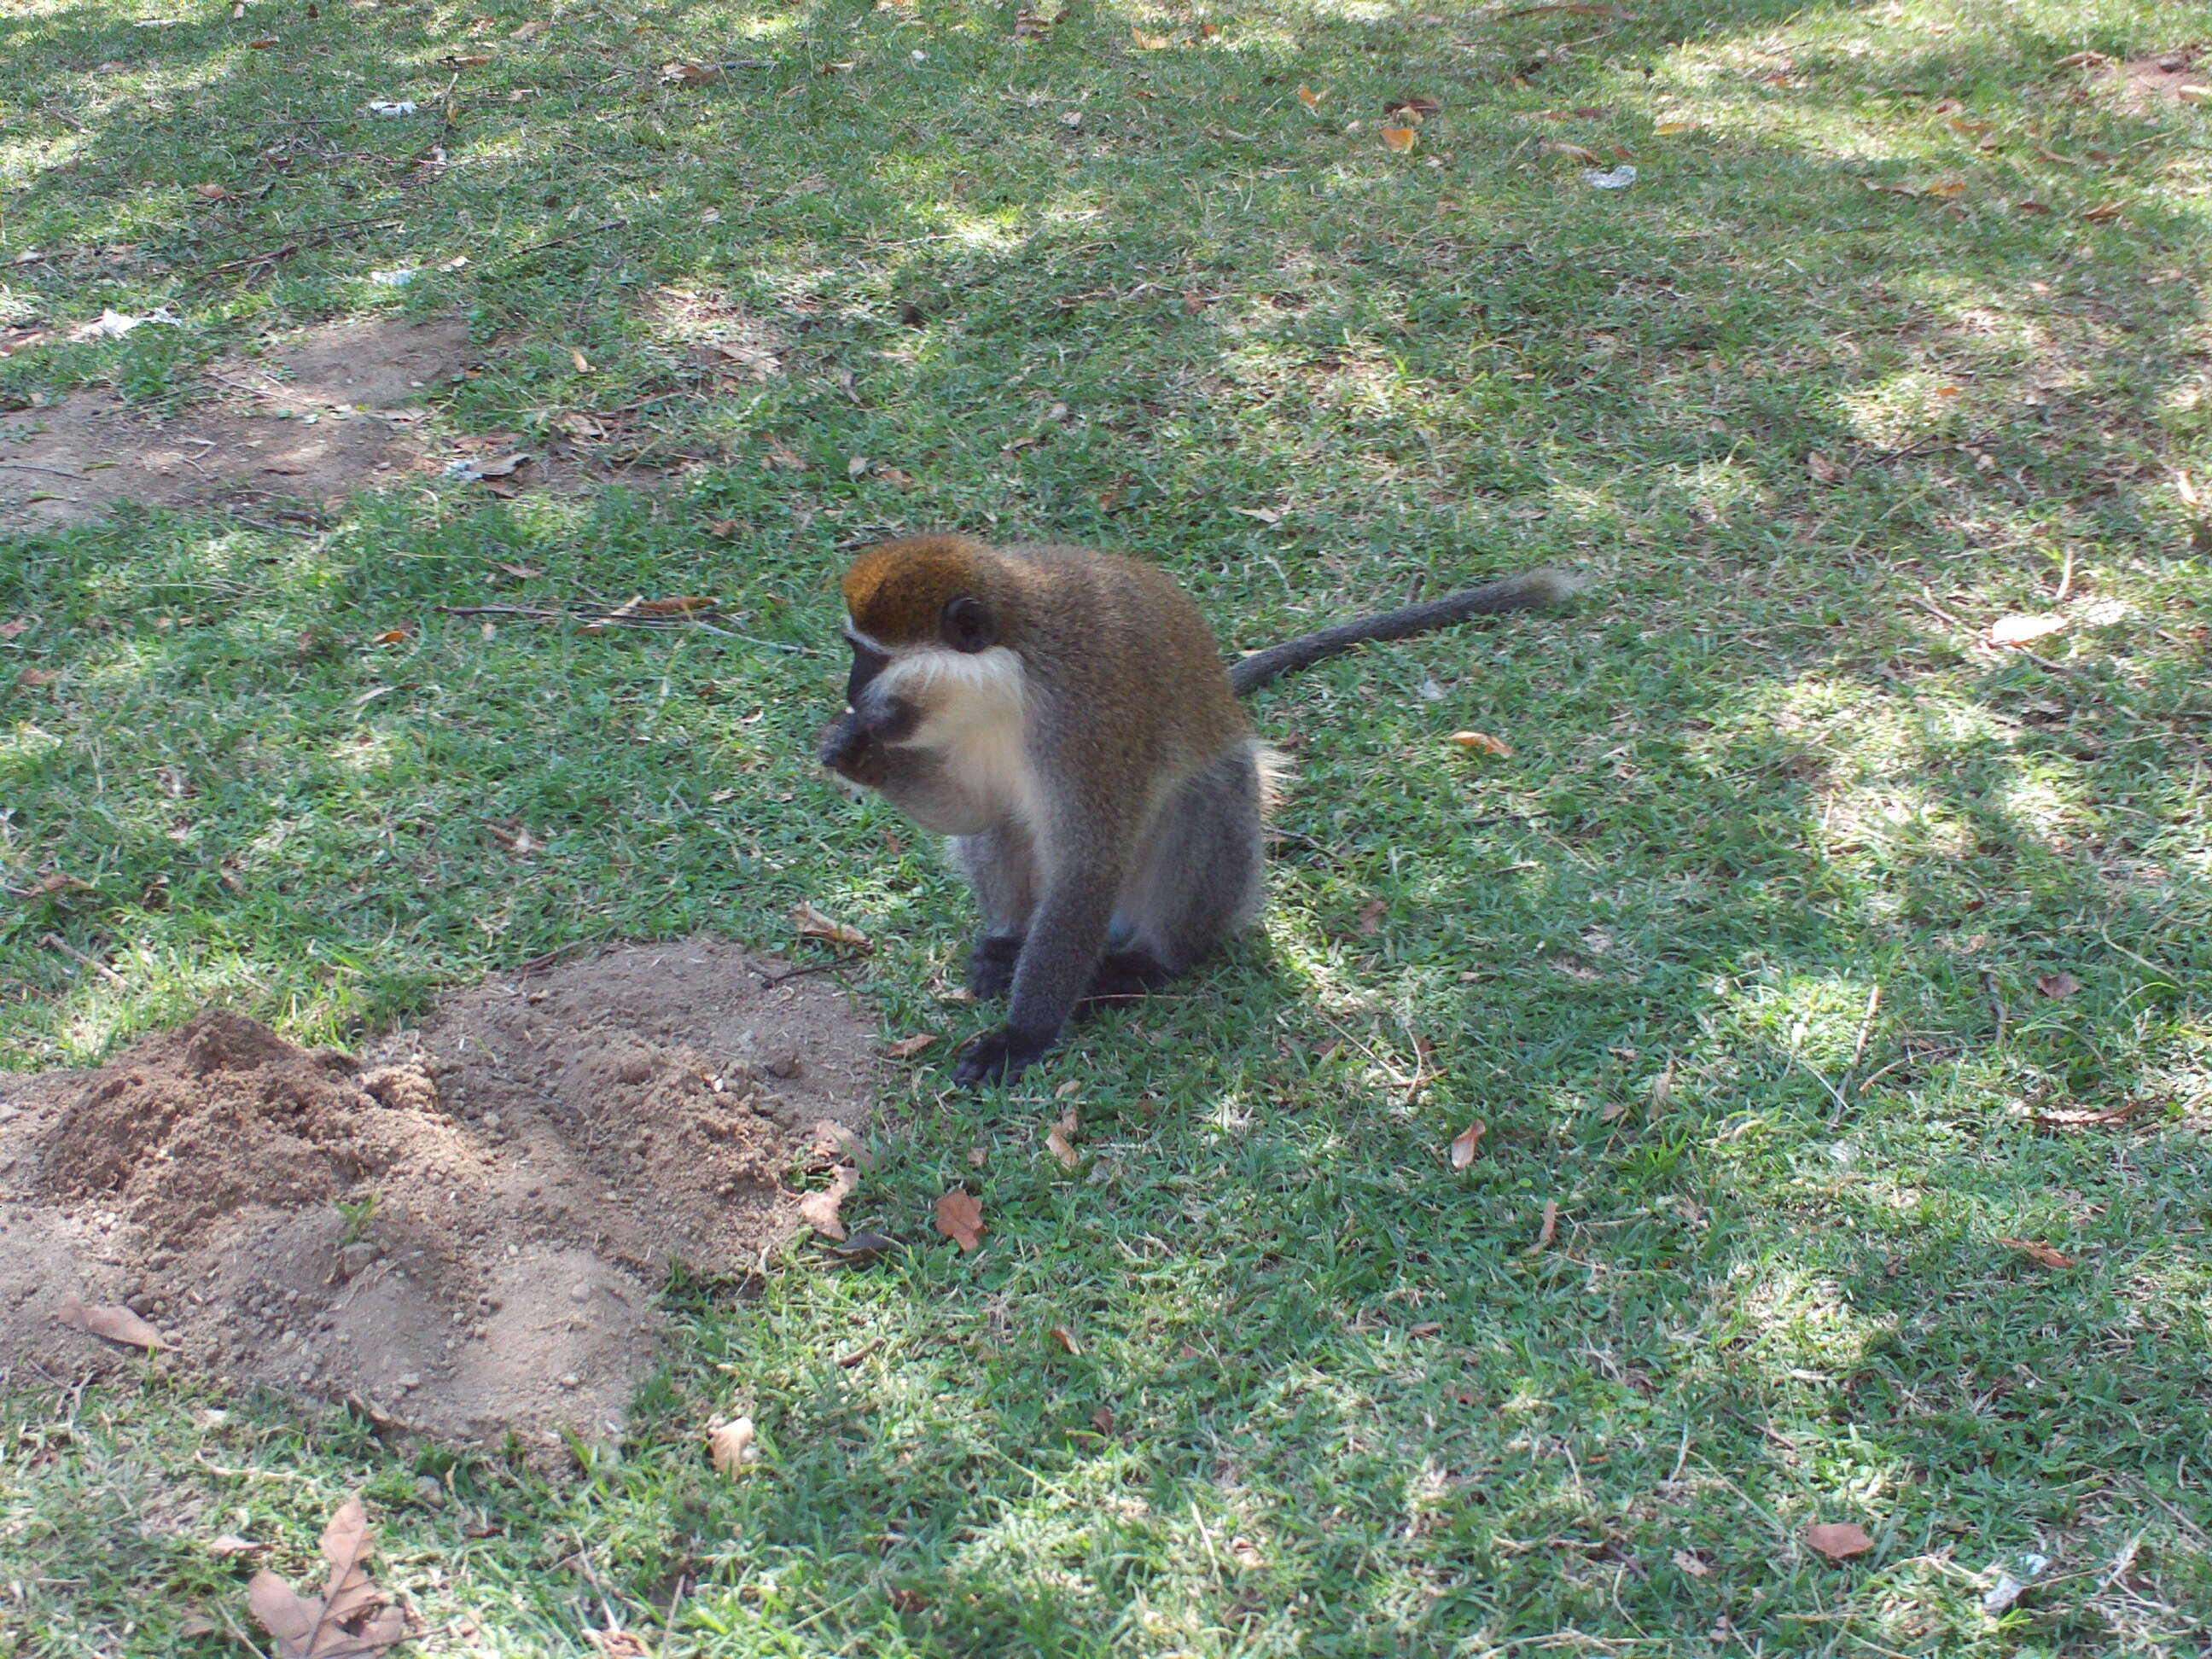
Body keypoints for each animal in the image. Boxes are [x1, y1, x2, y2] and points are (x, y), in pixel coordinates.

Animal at [818, 535, 1575, 1092]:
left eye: (871, 656)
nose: (853, 694)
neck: (1006, 675)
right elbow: (972, 809)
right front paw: (852, 751)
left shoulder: (1086, 721)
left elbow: (1089, 865)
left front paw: (1020, 1037)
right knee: (1005, 819)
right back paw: (1008, 944)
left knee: (1202, 801)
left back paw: (1150, 964)